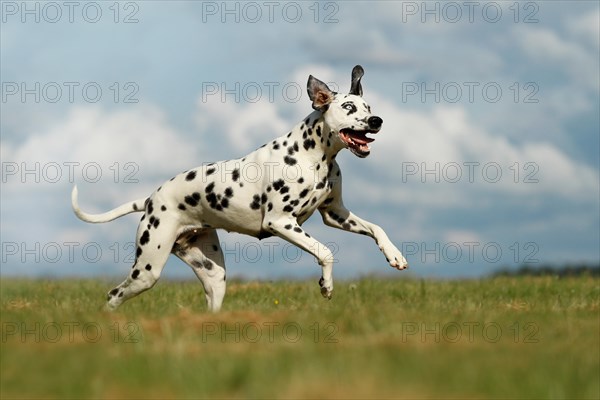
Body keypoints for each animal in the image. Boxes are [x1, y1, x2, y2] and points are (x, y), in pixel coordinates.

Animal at [71, 65, 408, 312]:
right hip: (148, 267)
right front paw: (326, 285)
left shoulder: (335, 214)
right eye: (349, 106)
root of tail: (151, 199)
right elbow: (325, 252)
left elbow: (376, 228)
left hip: (213, 274)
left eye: (368, 106)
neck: (314, 156)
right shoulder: (281, 222)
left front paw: (394, 255)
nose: (376, 120)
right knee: (114, 295)